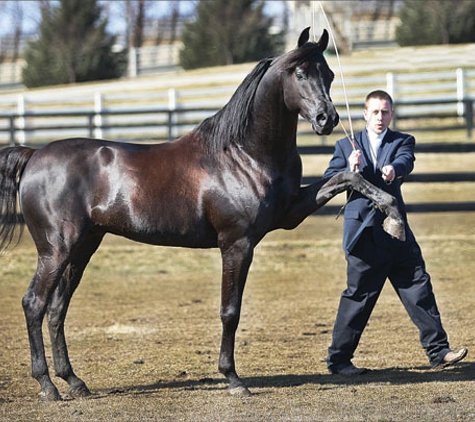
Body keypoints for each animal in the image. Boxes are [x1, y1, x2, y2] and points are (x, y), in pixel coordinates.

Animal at [0, 28, 406, 398]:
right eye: (299, 73)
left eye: (330, 74)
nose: (327, 119)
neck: (244, 153)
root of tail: (33, 155)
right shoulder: (237, 244)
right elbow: (230, 311)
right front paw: (233, 380)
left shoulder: (290, 213)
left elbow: (348, 175)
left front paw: (393, 219)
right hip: (57, 250)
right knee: (34, 304)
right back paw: (47, 386)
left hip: (84, 246)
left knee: (57, 308)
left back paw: (74, 382)